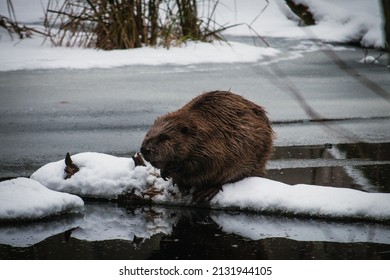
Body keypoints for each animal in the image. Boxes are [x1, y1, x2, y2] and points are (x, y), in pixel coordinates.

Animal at [140, 91, 274, 202]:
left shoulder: (216, 146)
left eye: (163, 137)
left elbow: (205, 165)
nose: (144, 149)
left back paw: (206, 191)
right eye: (148, 133)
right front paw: (166, 174)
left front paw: (171, 168)